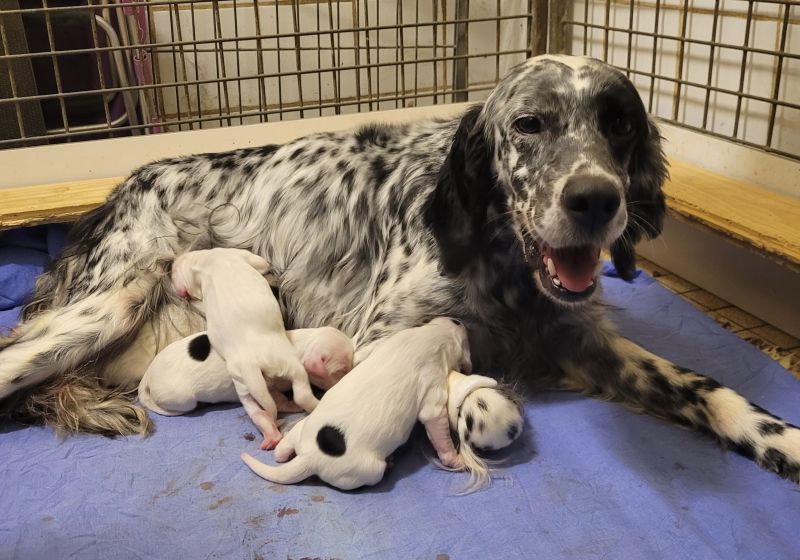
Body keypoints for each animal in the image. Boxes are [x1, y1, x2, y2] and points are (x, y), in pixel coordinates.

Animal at [170, 247, 318, 448]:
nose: (171, 265)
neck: (205, 262)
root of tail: (251, 365)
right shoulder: (240, 255)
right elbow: (261, 263)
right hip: (287, 363)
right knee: (301, 392)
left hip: (244, 386)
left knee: (260, 409)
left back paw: (271, 432)